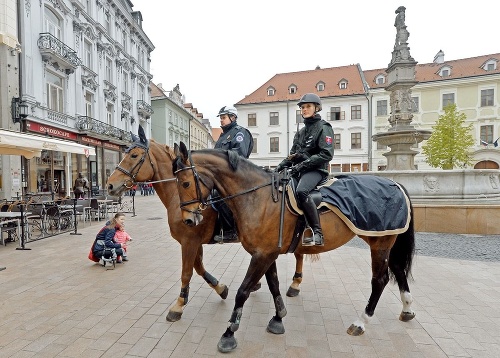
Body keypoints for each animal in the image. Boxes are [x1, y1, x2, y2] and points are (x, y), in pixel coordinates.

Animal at [107, 126, 306, 322]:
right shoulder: (192, 242)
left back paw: (295, 284)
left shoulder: (190, 240)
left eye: (134, 155)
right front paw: (221, 289)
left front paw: (179, 305)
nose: (109, 185)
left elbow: (187, 272)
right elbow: (199, 267)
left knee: (299, 254)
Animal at [174, 142, 416, 352]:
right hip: (382, 240)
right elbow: (273, 284)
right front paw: (278, 317)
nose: (188, 220)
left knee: (380, 280)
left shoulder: (262, 255)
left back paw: (361, 322)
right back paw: (407, 309)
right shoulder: (266, 253)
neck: (258, 197)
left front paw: (229, 333)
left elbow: (242, 291)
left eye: (185, 183)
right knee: (398, 269)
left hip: (380, 243)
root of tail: (395, 184)